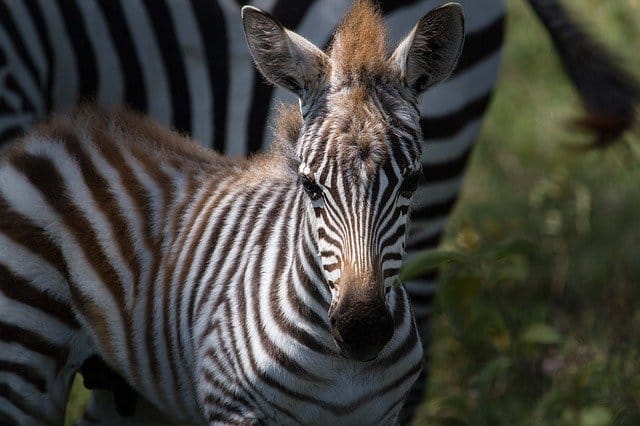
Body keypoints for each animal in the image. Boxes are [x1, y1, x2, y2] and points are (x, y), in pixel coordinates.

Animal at [0, 0, 637, 423]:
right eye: (310, 187)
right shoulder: (233, 409)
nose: (362, 331)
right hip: (26, 353)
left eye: (412, 181)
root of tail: (66, 127)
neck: (340, 373)